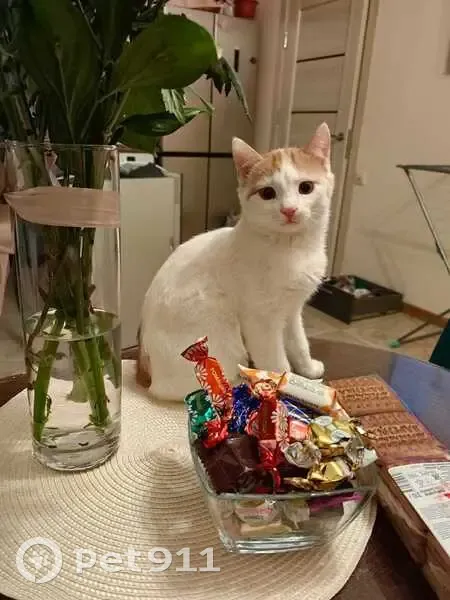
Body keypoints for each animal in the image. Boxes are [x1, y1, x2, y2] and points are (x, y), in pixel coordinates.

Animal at [137, 123, 335, 401]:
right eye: (267, 193)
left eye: (305, 187)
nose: (289, 210)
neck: (292, 248)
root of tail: (146, 371)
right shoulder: (261, 320)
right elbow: (276, 359)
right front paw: (282, 387)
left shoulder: (292, 310)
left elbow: (299, 342)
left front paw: (307, 370)